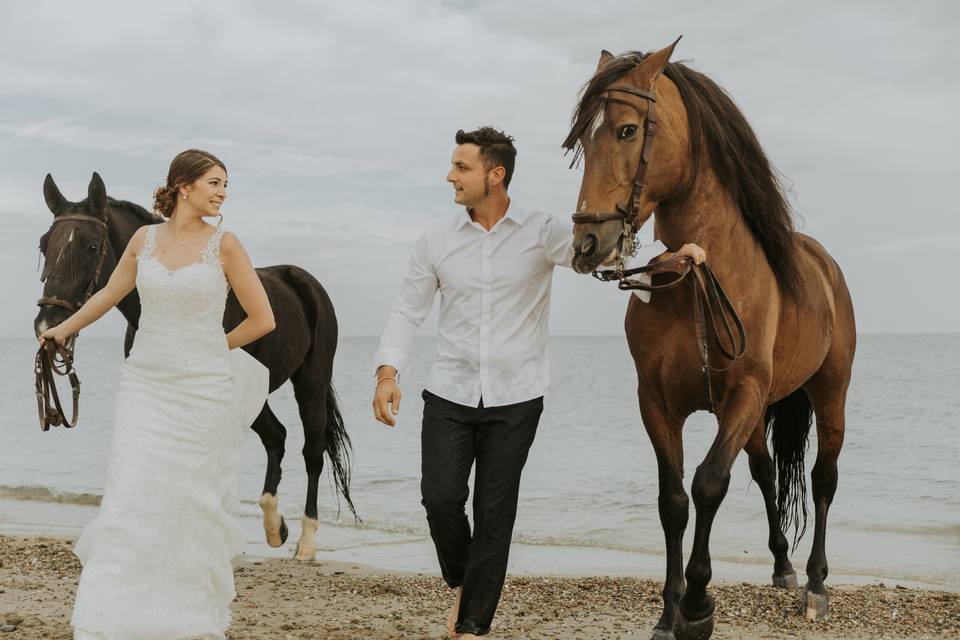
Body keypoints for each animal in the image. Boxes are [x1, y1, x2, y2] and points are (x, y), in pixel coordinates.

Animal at [33, 172, 358, 564]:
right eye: (43, 245)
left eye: (93, 246)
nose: (48, 325)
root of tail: (304, 282)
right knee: (276, 437)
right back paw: (273, 528)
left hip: (311, 382)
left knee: (312, 452)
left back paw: (306, 542)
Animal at [564, 41, 856, 640]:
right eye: (582, 141)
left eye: (626, 130)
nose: (586, 244)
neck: (698, 270)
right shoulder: (657, 402)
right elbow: (674, 500)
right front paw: (669, 610)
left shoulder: (743, 394)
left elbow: (708, 484)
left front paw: (698, 607)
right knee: (766, 473)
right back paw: (783, 566)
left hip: (830, 391)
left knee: (823, 478)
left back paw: (816, 584)